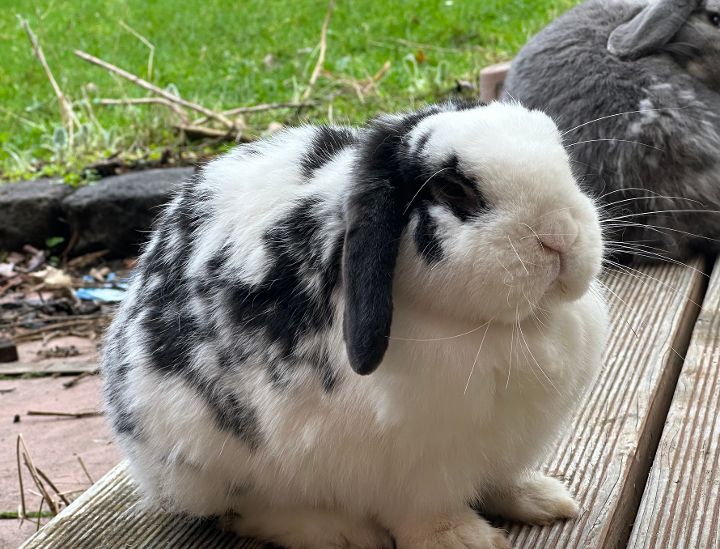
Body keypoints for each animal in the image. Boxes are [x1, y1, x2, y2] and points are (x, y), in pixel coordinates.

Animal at [101, 99, 608, 548]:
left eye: (562, 155)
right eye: (452, 191)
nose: (560, 235)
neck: (500, 326)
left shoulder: (503, 446)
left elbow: (500, 481)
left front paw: (540, 499)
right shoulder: (415, 468)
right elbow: (428, 515)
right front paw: (466, 541)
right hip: (208, 462)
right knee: (244, 509)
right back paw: (339, 532)